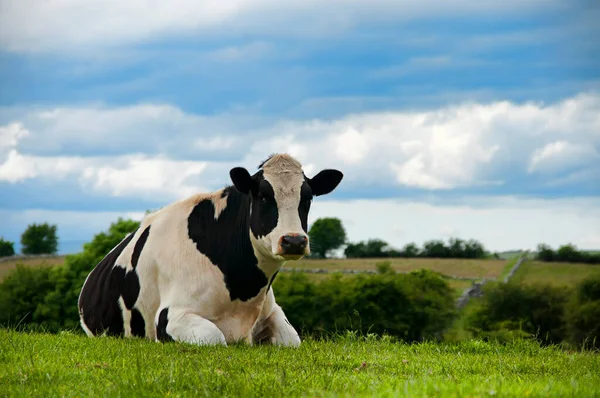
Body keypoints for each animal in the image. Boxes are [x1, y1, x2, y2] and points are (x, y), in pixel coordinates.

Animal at [77, 154, 344, 346]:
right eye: (262, 196)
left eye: (307, 198)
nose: (293, 240)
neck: (243, 290)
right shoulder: (171, 316)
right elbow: (215, 338)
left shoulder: (272, 311)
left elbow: (292, 339)